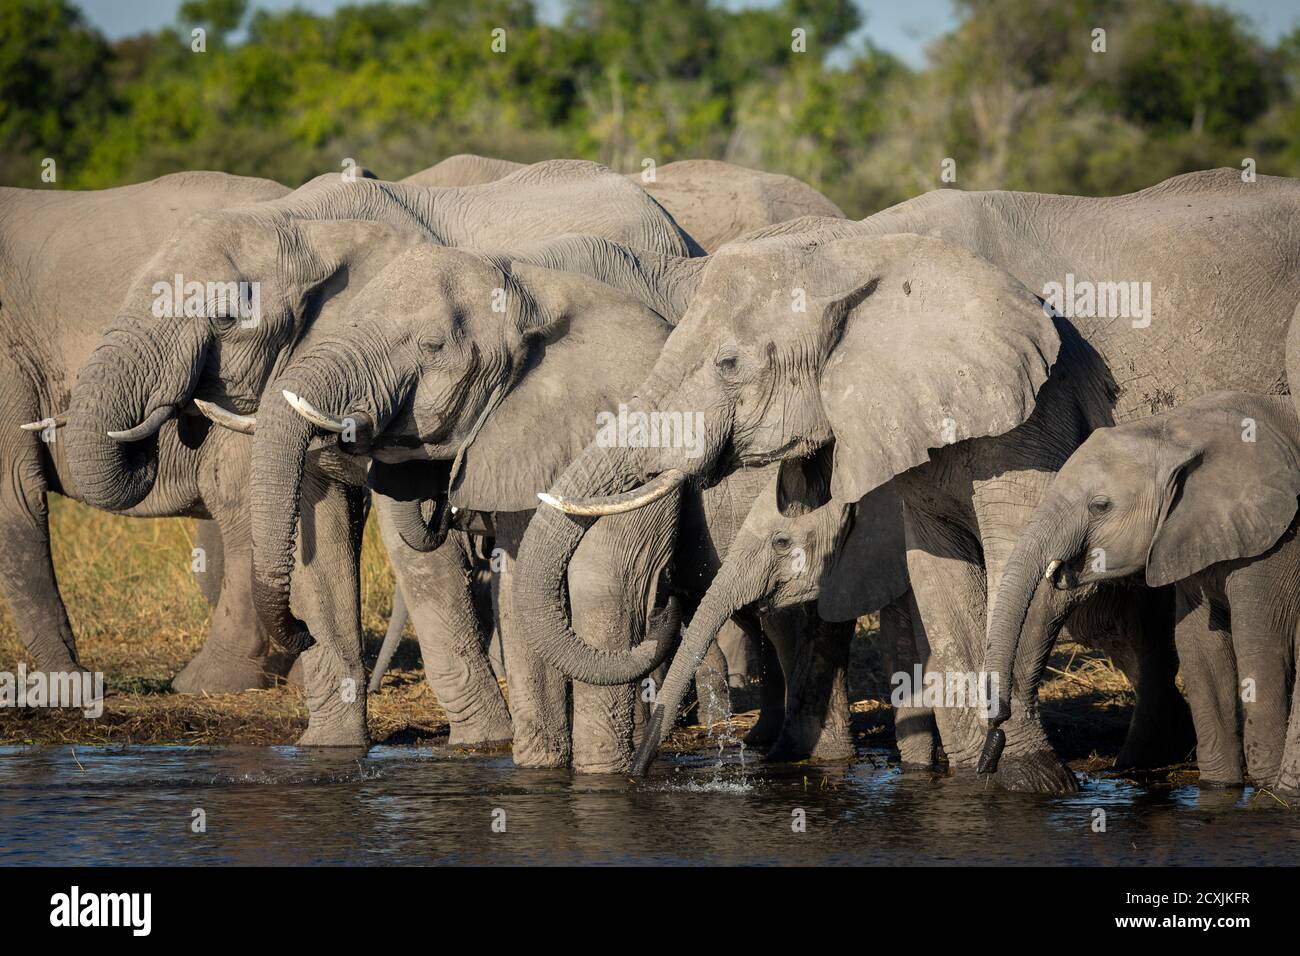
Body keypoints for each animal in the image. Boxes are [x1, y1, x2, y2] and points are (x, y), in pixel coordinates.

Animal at [982, 390, 1300, 801]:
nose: (997, 727)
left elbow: (1260, 643)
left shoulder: (1277, 542)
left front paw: (1266, 786)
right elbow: (1200, 648)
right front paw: (1219, 787)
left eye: (1100, 506)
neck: (1172, 432)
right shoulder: (1187, 529)